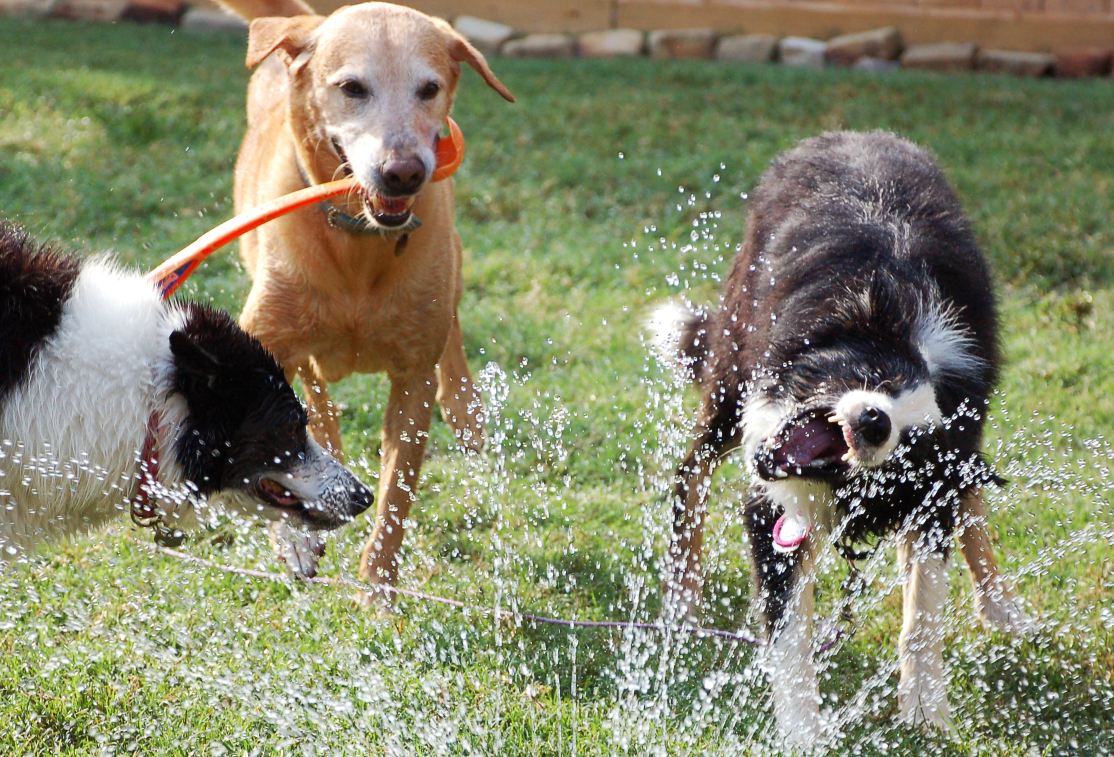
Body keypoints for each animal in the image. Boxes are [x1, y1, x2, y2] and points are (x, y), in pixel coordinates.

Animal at [214, 0, 514, 588]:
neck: (358, 241)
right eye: (352, 87)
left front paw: (378, 589)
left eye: (429, 88)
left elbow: (397, 493)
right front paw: (296, 536)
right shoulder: (267, 342)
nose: (403, 172)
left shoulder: (414, 378)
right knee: (315, 392)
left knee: (452, 330)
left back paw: (465, 408)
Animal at [654, 132, 1034, 745]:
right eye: (879, 380)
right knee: (692, 469)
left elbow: (924, 609)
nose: (875, 421)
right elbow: (789, 634)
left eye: (909, 448)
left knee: (972, 490)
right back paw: (682, 601)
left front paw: (924, 710)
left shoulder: (935, 485)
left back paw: (1001, 605)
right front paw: (805, 732)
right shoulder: (772, 500)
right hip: (735, 364)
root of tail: (853, 134)